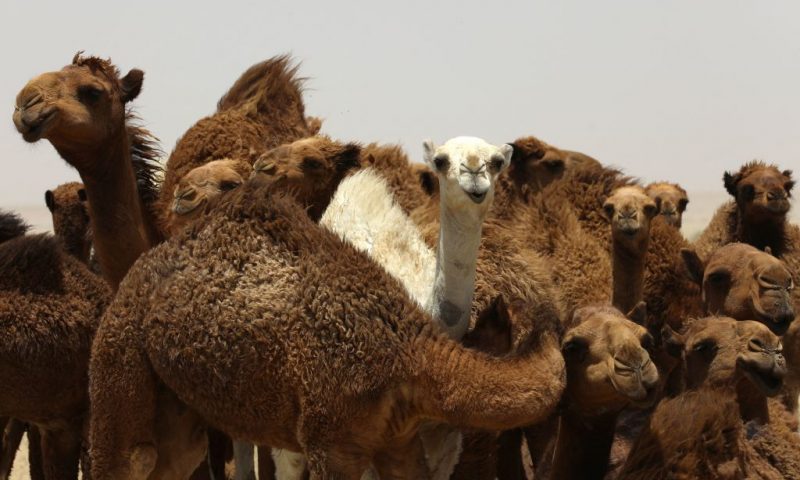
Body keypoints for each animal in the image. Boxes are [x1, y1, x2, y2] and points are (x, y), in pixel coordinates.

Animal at [86, 177, 564, 480]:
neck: (409, 352)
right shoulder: (330, 438)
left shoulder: (398, 441)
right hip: (118, 352)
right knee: (127, 459)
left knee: (170, 460)